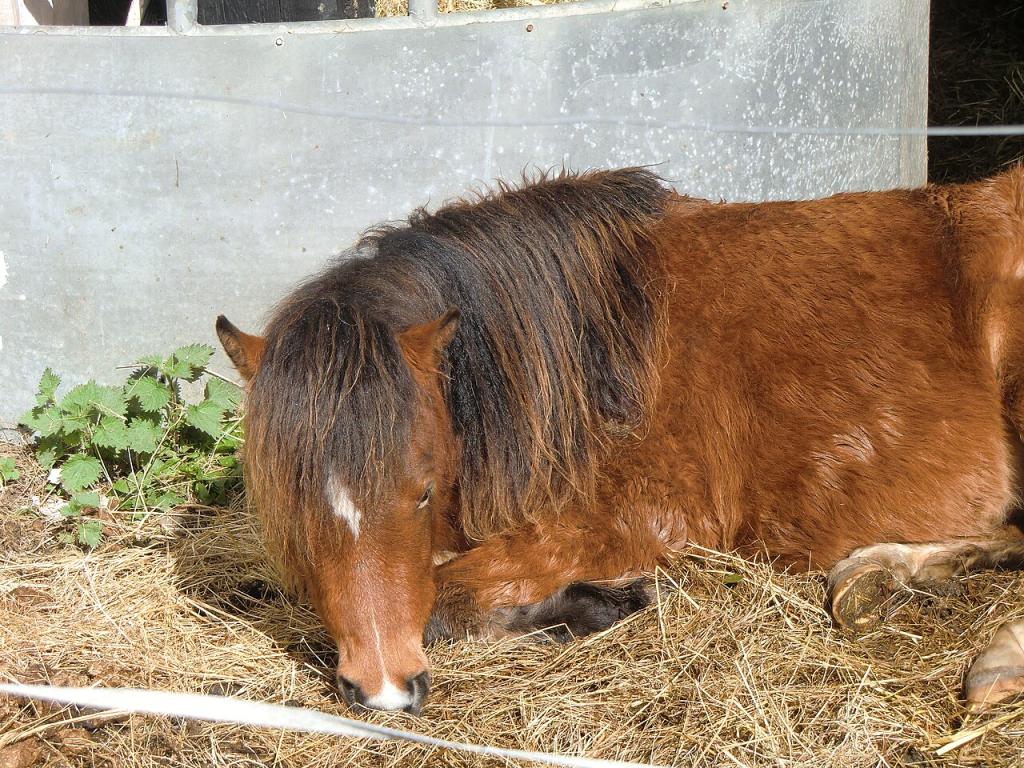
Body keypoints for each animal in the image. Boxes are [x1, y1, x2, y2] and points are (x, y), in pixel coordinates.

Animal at [216, 166, 1024, 715]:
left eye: (419, 490)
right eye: (294, 510)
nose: (383, 691)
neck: (591, 348)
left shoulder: (639, 517)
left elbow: (448, 598)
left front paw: (606, 603)